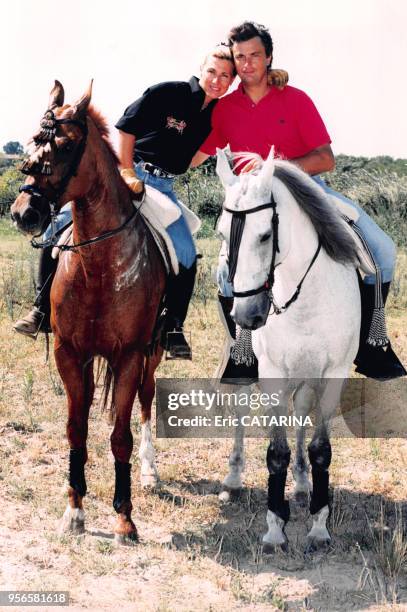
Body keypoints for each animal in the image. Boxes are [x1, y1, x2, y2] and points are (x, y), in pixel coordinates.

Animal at [11, 80, 167, 540]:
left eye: (63, 146)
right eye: (32, 140)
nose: (24, 213)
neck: (98, 266)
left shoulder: (130, 356)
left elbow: (120, 436)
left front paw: (124, 518)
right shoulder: (70, 353)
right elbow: (75, 429)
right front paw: (75, 509)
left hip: (152, 354)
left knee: (147, 399)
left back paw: (150, 472)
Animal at [217, 147, 360, 548]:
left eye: (266, 235)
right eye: (221, 233)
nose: (247, 315)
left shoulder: (333, 373)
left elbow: (320, 449)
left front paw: (319, 524)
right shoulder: (273, 375)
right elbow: (275, 451)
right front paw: (274, 527)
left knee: (301, 416)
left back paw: (301, 484)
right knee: (240, 411)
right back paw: (234, 479)